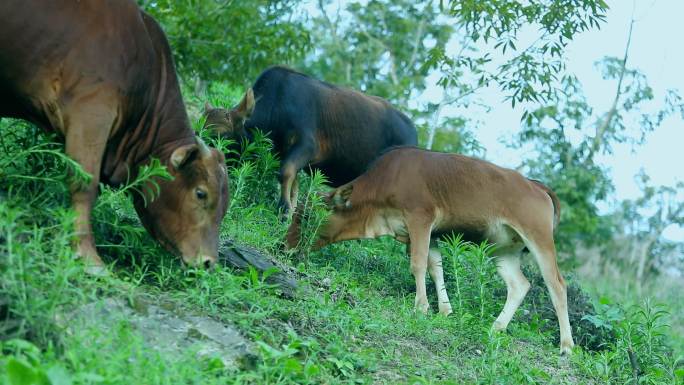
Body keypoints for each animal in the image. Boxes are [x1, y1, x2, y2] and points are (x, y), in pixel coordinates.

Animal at [203, 64, 416, 212]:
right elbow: (293, 184)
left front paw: (284, 210)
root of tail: (414, 134)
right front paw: (289, 211)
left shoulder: (307, 146)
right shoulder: (286, 153)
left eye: (224, 135)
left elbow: (285, 173)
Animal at [286, 146, 576, 354]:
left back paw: (566, 346)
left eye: (307, 216)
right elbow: (435, 267)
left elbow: (417, 264)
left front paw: (421, 307)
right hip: (502, 250)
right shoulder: (428, 233)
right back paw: (496, 327)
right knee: (519, 285)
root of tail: (536, 185)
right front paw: (445, 310)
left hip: (539, 239)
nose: (285, 245)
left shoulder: (420, 220)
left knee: (557, 285)